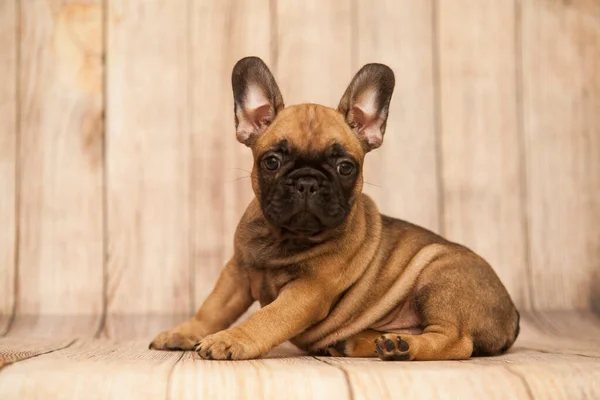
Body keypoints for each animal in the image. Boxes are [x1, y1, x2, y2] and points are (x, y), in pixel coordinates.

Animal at [148, 57, 516, 362]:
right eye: (272, 161)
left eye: (345, 167)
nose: (307, 182)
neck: (284, 237)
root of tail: (512, 316)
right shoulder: (236, 273)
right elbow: (212, 308)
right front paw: (183, 332)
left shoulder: (308, 292)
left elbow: (267, 317)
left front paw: (229, 340)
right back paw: (365, 343)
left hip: (438, 278)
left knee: (456, 340)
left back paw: (403, 346)